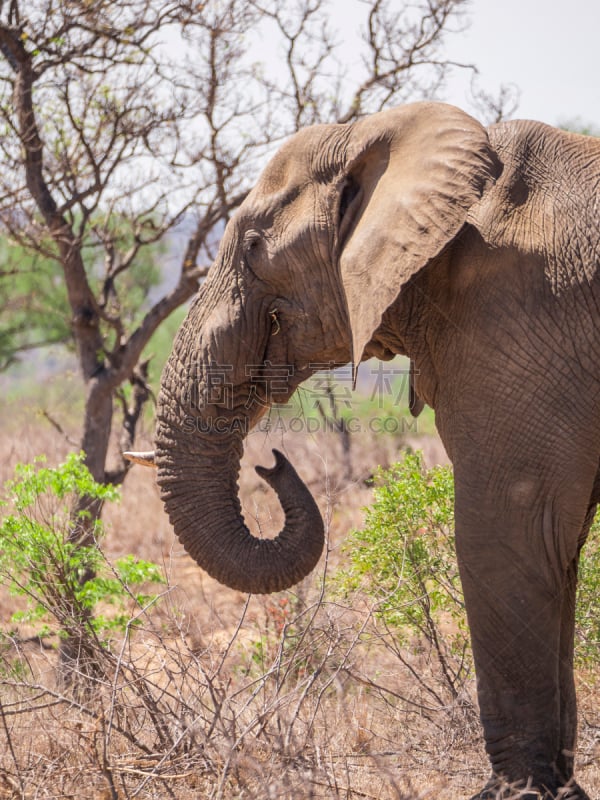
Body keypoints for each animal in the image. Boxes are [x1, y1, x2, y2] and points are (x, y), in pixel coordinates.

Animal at [135, 103, 600, 796]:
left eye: (251, 248)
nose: (271, 461)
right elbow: (553, 548)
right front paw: (557, 790)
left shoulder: (519, 319)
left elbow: (507, 533)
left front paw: (515, 793)